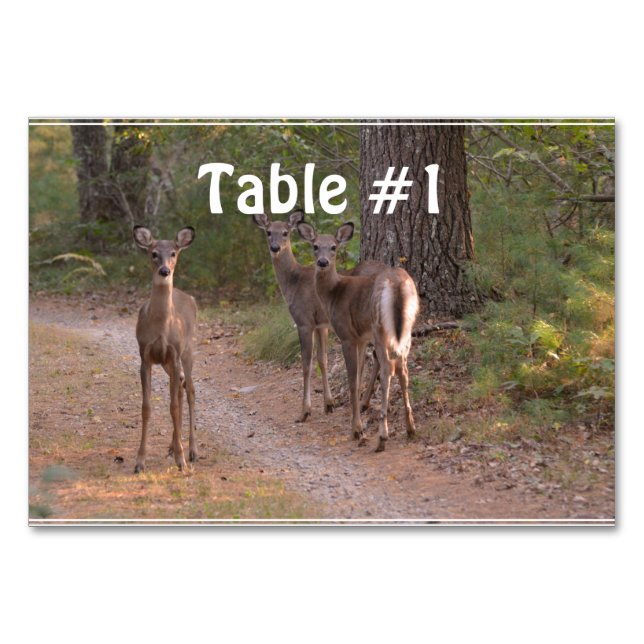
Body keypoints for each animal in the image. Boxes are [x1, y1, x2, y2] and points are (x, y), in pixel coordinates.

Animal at [132, 225, 198, 473]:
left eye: (173, 253)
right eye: (153, 253)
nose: (164, 271)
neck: (161, 325)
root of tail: (190, 297)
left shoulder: (175, 353)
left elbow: (173, 407)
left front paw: (181, 460)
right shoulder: (145, 355)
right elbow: (147, 407)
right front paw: (139, 461)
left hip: (187, 351)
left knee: (190, 390)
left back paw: (192, 451)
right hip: (168, 363)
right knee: (181, 386)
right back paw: (173, 446)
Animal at [252, 210, 383, 422]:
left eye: (286, 232)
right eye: (268, 232)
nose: (275, 247)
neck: (293, 282)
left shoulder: (304, 321)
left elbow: (307, 363)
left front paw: (305, 411)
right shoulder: (321, 325)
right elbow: (323, 359)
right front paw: (328, 404)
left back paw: (363, 404)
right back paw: (364, 403)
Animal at [297, 221, 419, 452]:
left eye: (334, 246)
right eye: (315, 246)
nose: (323, 262)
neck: (334, 293)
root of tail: (397, 284)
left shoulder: (346, 335)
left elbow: (352, 381)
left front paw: (357, 430)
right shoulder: (361, 338)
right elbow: (360, 377)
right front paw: (358, 418)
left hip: (380, 327)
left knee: (388, 368)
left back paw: (382, 437)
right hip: (407, 328)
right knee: (403, 369)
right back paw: (410, 428)